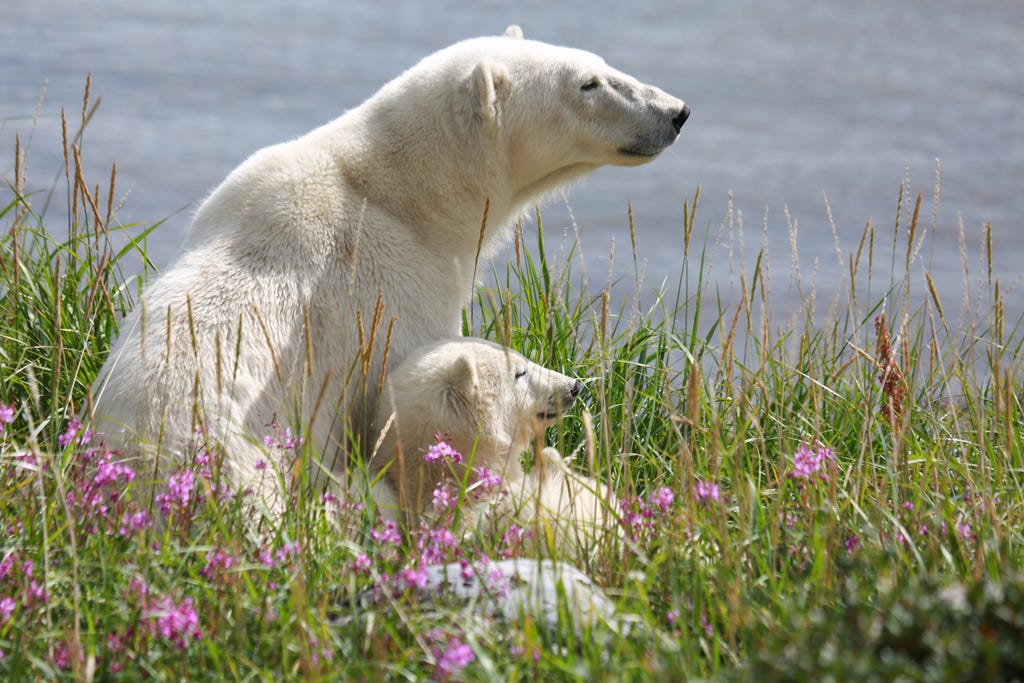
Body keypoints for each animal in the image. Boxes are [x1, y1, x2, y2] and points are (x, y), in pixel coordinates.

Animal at [89, 25, 688, 513]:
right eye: (589, 83)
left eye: (601, 63)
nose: (676, 111)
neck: (406, 194)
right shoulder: (395, 287)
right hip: (247, 471)